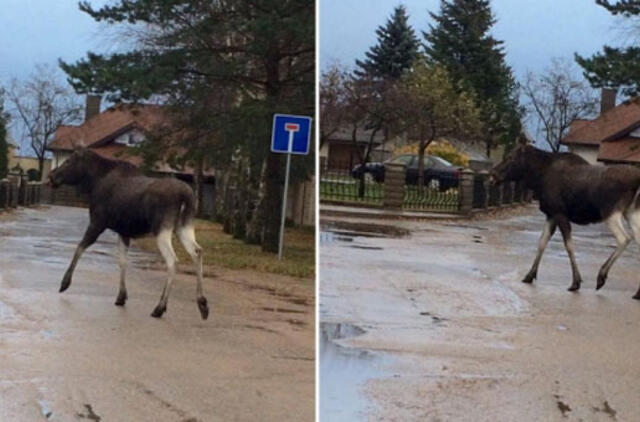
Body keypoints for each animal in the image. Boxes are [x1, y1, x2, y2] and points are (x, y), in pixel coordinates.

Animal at [50, 150, 210, 318]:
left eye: (68, 161)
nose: (52, 176)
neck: (93, 182)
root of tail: (186, 196)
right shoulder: (123, 232)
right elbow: (122, 262)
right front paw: (121, 296)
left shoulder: (97, 223)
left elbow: (79, 248)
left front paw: (65, 283)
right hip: (183, 227)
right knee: (197, 251)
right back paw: (202, 303)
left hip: (162, 228)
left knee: (172, 260)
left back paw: (160, 307)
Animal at [490, 143, 640, 298]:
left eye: (510, 157)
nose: (493, 173)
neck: (538, 178)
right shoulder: (551, 215)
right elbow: (542, 242)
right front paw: (529, 275)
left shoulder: (560, 213)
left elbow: (568, 246)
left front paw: (575, 282)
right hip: (631, 212)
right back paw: (637, 292)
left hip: (610, 212)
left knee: (625, 238)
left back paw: (601, 277)